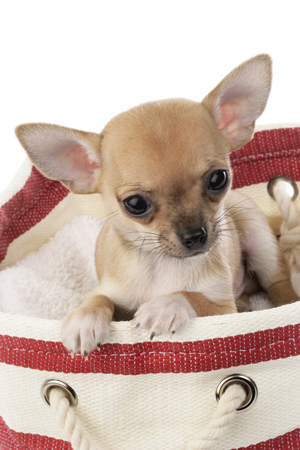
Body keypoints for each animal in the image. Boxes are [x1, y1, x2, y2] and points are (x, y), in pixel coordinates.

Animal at [15, 53, 298, 356]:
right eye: (135, 203)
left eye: (218, 179)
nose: (195, 236)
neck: (163, 265)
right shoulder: (111, 293)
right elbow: (98, 299)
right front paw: (84, 318)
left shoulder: (223, 310)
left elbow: (191, 296)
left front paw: (166, 306)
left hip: (257, 237)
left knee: (278, 282)